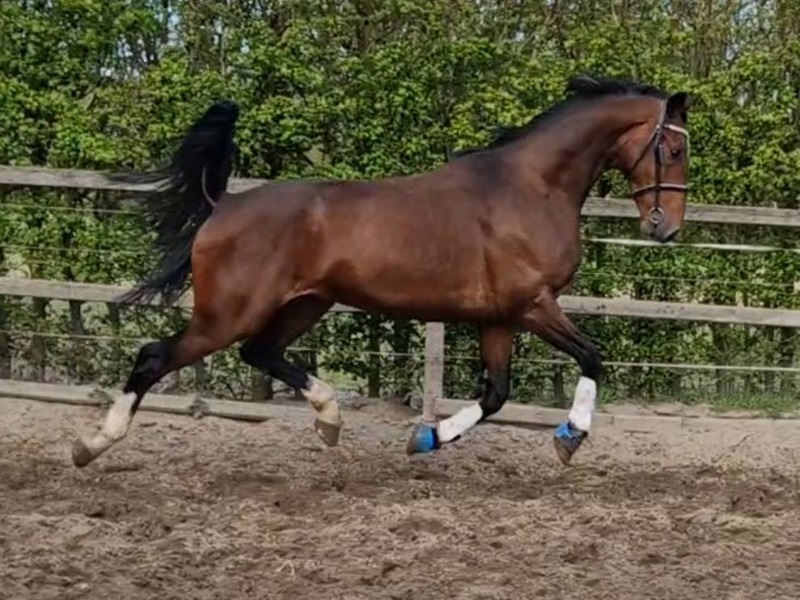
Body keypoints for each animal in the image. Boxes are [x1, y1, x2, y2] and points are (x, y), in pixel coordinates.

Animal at [70, 74, 692, 469]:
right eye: (675, 150)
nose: (665, 227)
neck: (532, 187)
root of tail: (223, 205)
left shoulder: (499, 317)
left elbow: (495, 395)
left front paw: (426, 438)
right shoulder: (533, 304)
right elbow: (591, 356)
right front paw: (570, 439)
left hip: (305, 303)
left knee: (261, 353)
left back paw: (329, 420)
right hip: (228, 313)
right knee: (156, 356)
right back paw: (91, 446)